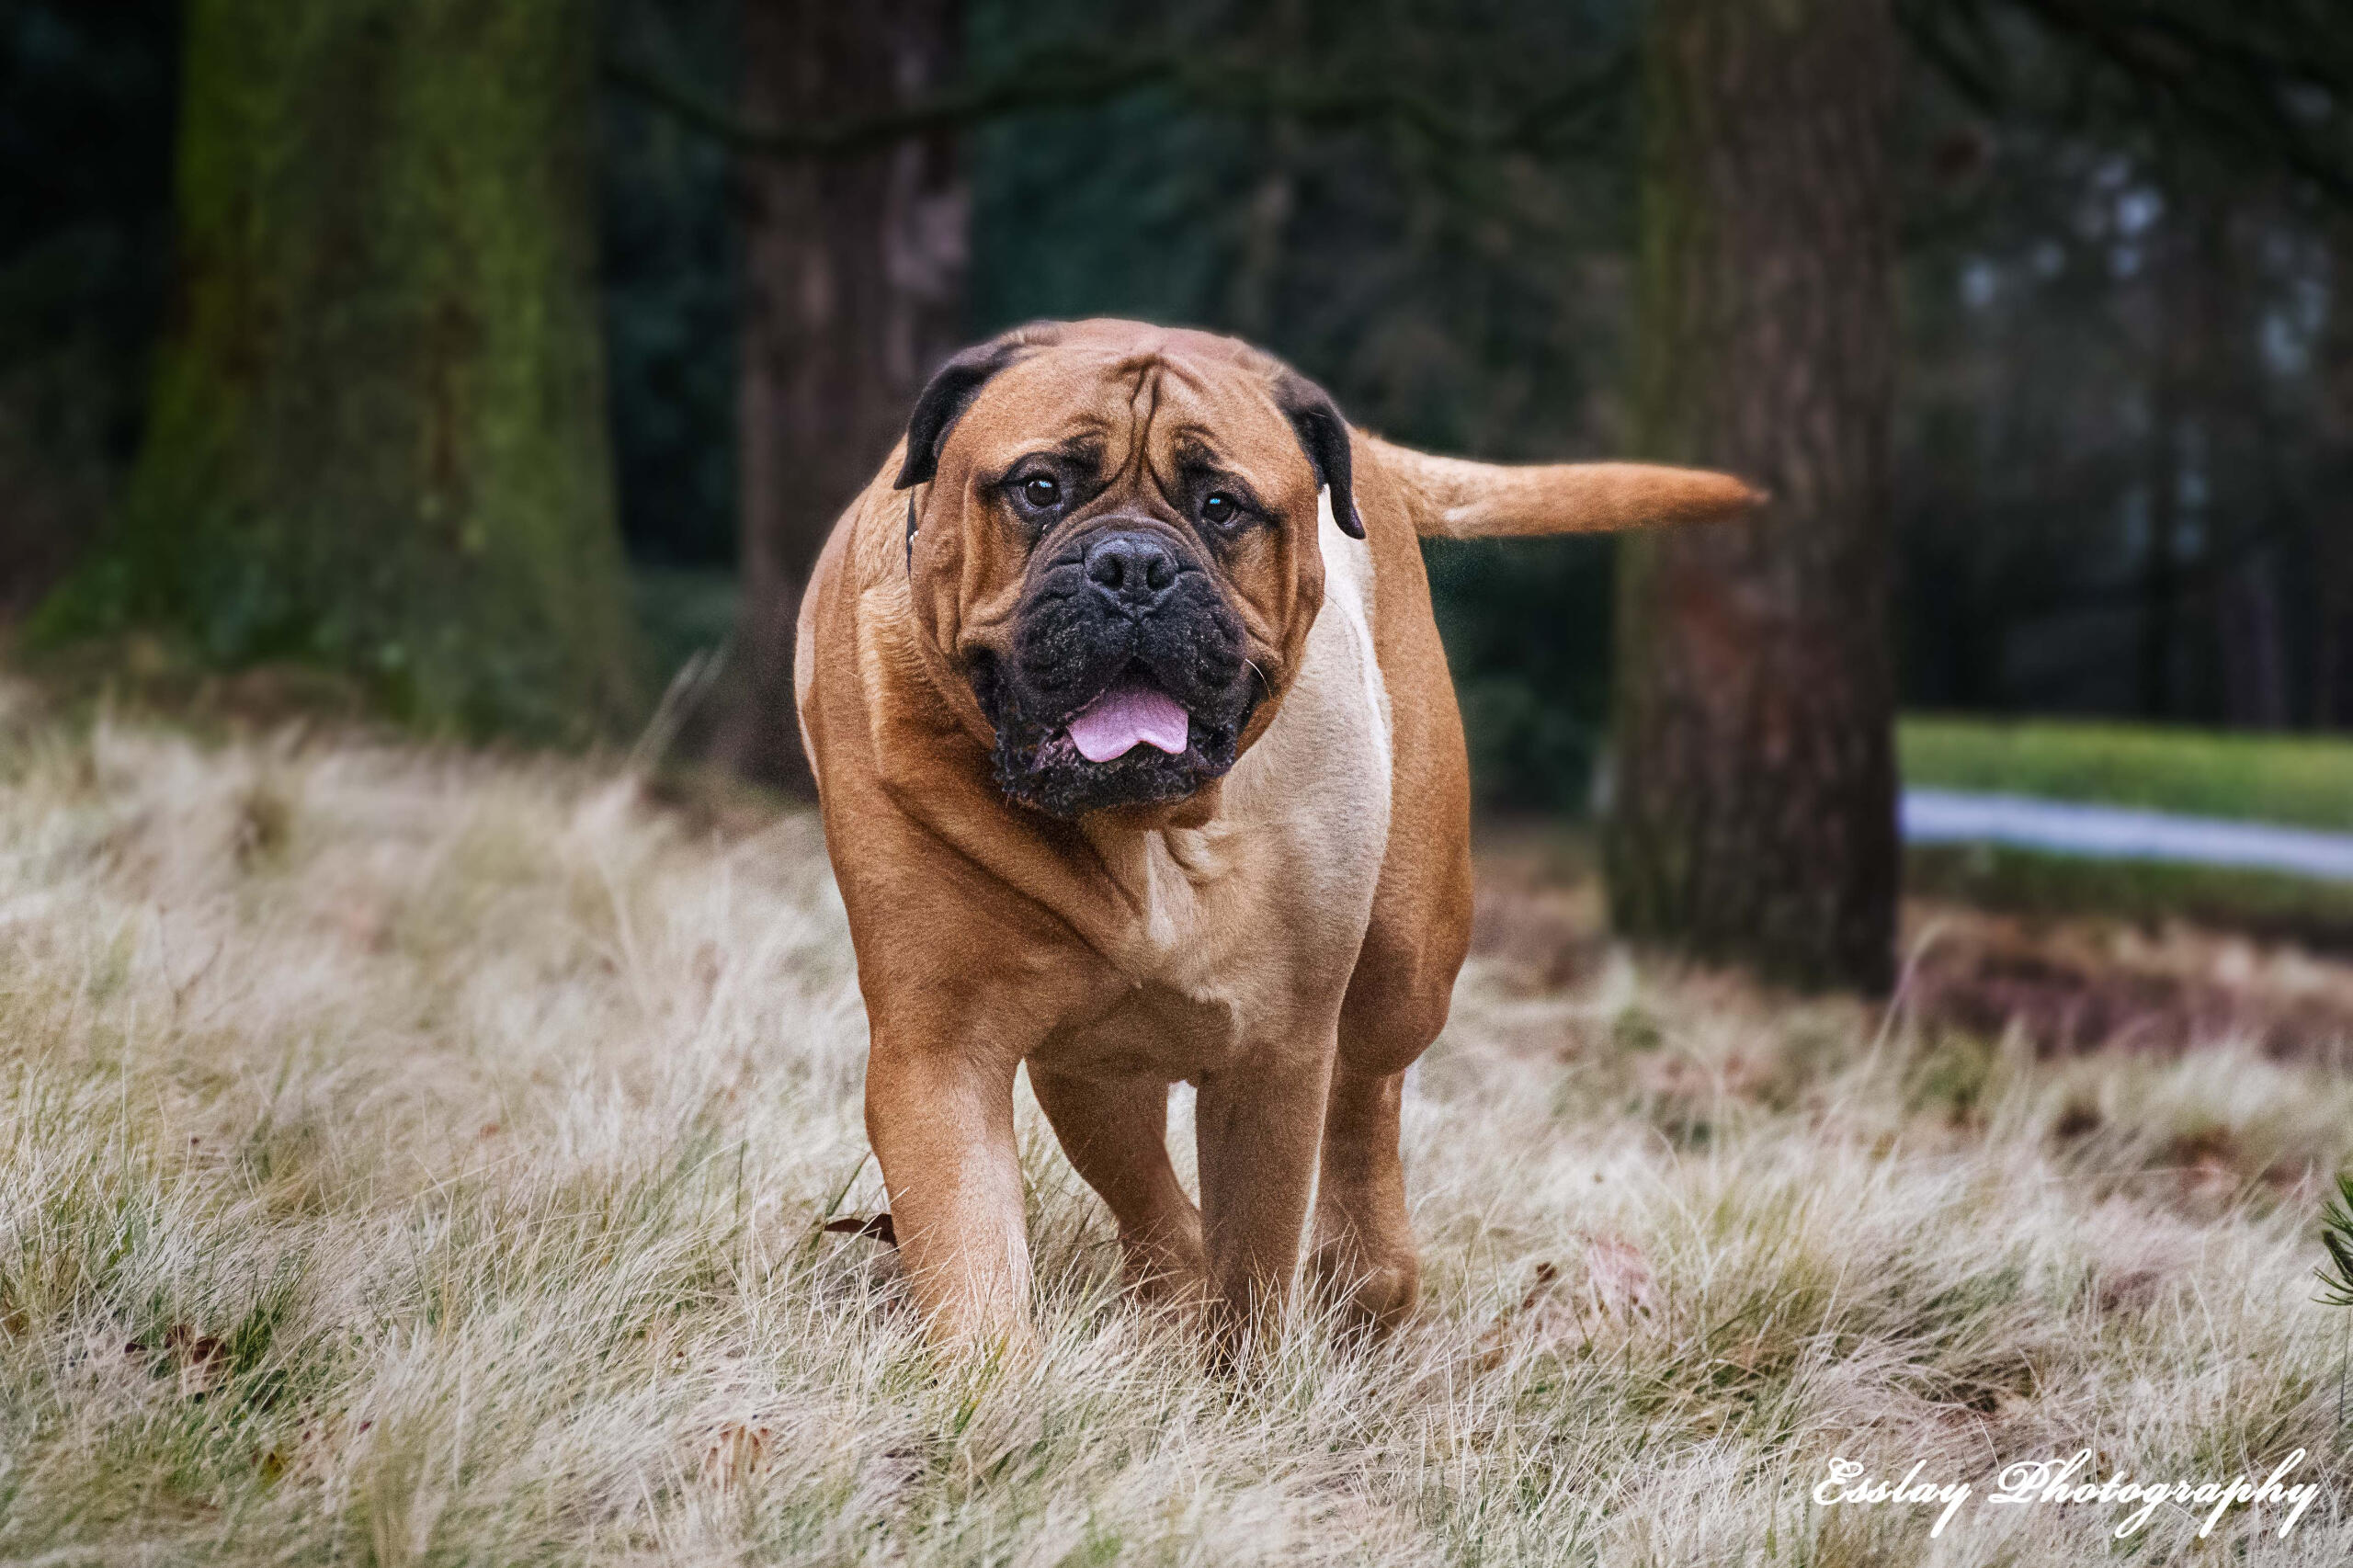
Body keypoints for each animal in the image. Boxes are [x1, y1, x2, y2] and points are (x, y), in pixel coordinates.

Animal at [800, 320, 1759, 1356]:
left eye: (1222, 507)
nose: (1133, 566)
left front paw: (1242, 1372)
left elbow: (1257, 1265)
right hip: (1091, 1062)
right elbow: (972, 1262)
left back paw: (1369, 1273)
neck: (1142, 835)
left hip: (1406, 957)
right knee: (1153, 1192)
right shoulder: (938, 1053)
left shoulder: (1274, 1054)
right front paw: (998, 1383)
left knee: (1368, 1093)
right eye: (1040, 488)